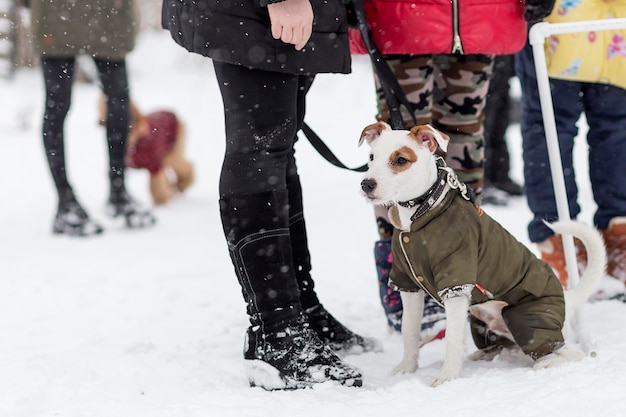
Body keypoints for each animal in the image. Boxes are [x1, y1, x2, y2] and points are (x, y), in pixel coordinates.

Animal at [358, 121, 608, 386]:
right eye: (371, 157)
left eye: (401, 160)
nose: (367, 184)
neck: (421, 210)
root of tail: (566, 298)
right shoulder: (408, 285)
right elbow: (409, 332)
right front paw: (406, 370)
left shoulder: (456, 284)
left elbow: (452, 339)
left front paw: (446, 378)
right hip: (481, 318)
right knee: (506, 346)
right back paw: (483, 355)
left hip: (525, 317)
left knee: (568, 351)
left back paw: (546, 363)